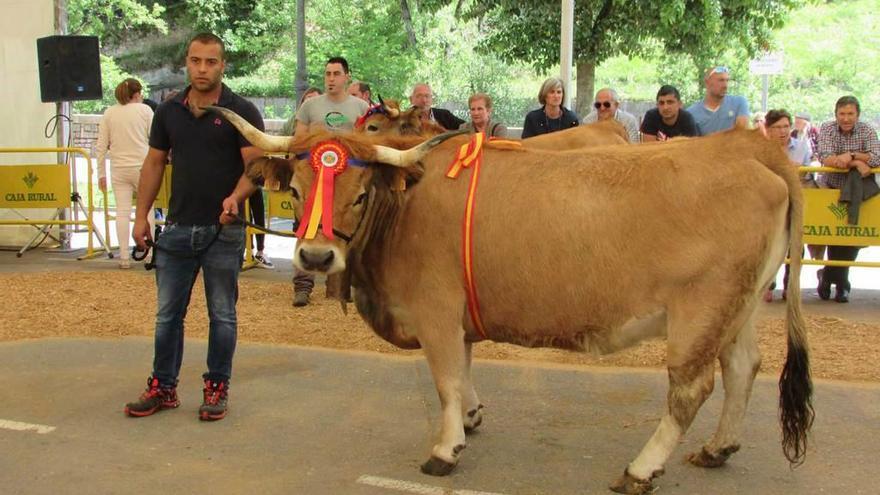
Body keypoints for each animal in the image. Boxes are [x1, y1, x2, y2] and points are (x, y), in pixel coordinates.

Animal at [210, 106, 816, 495]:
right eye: (295, 191)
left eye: (360, 195)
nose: (314, 258)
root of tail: (746, 148)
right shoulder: (458, 313)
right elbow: (464, 369)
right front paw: (472, 415)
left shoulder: (434, 308)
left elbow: (445, 377)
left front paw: (446, 448)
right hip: (737, 309)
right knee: (743, 367)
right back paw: (719, 448)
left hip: (699, 313)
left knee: (691, 389)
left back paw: (641, 470)